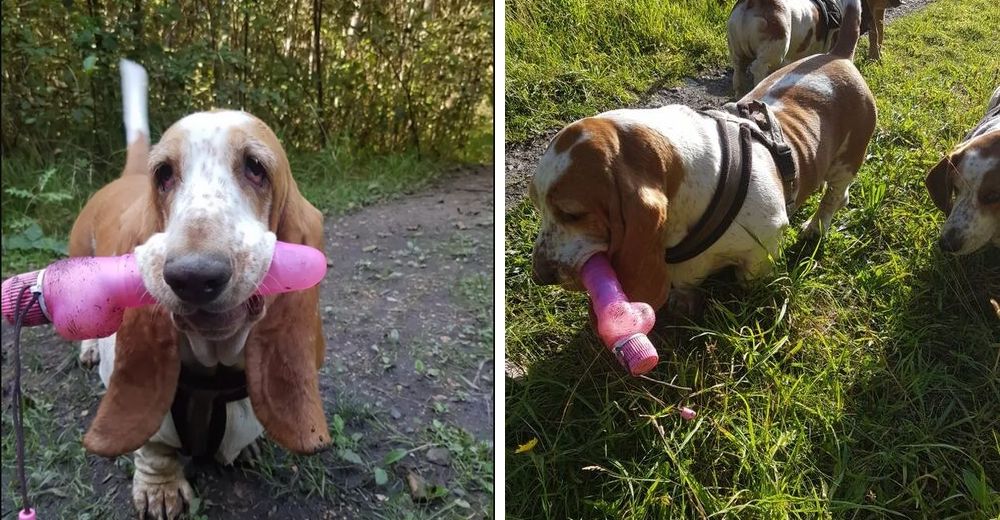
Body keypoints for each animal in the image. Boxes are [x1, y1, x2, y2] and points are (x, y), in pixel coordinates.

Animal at [70, 60, 328, 516]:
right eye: (164, 174)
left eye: (256, 168)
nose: (193, 276)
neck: (215, 362)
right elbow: (153, 444)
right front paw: (160, 489)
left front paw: (248, 447)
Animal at [532, 0, 876, 312]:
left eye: (572, 214)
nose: (539, 276)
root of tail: (838, 55)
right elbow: (686, 284)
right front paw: (683, 301)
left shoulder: (762, 247)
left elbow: (748, 278)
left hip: (847, 161)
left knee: (833, 195)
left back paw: (815, 228)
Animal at [728, 0, 900, 95]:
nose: (899, 2)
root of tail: (753, 3)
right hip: (774, 52)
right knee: (758, 67)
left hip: (736, 50)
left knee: (738, 69)